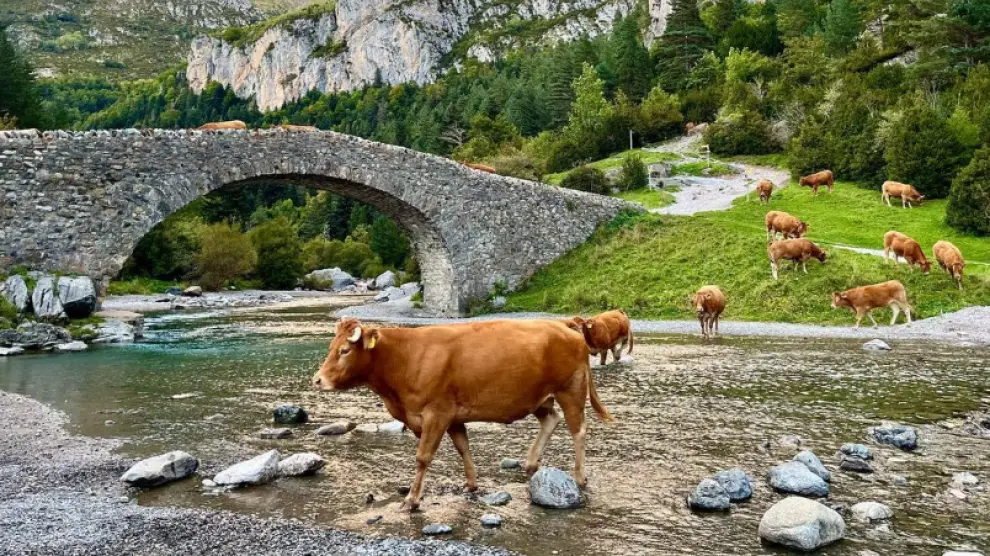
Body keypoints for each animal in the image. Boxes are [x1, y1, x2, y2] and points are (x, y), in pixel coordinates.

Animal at [311, 318, 612, 511]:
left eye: (344, 350)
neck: (404, 357)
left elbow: (423, 458)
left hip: (571, 389)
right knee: (551, 420)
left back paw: (580, 476)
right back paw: (530, 462)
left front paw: (412, 500)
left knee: (578, 429)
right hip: (539, 397)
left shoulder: (436, 413)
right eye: (330, 348)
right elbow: (463, 447)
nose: (317, 380)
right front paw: (471, 483)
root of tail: (563, 325)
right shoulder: (453, 416)